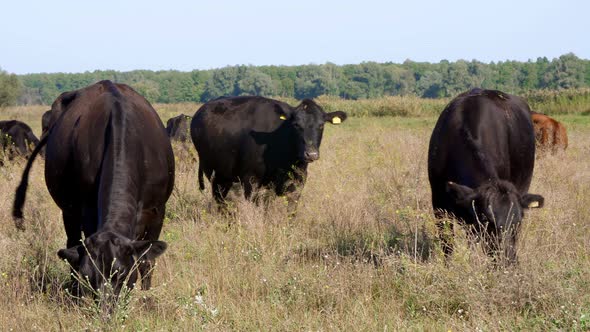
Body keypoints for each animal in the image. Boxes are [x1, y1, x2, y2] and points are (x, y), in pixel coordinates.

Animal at [13, 80, 176, 296]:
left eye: (122, 273)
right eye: (89, 276)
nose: (106, 305)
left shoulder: (157, 210)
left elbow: (146, 262)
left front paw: (146, 295)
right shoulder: (87, 209)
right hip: (69, 210)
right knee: (72, 245)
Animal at [190, 95, 346, 210]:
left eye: (321, 125)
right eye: (296, 125)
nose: (311, 154)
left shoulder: (299, 180)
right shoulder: (251, 180)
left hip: (225, 175)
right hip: (214, 174)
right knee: (220, 200)